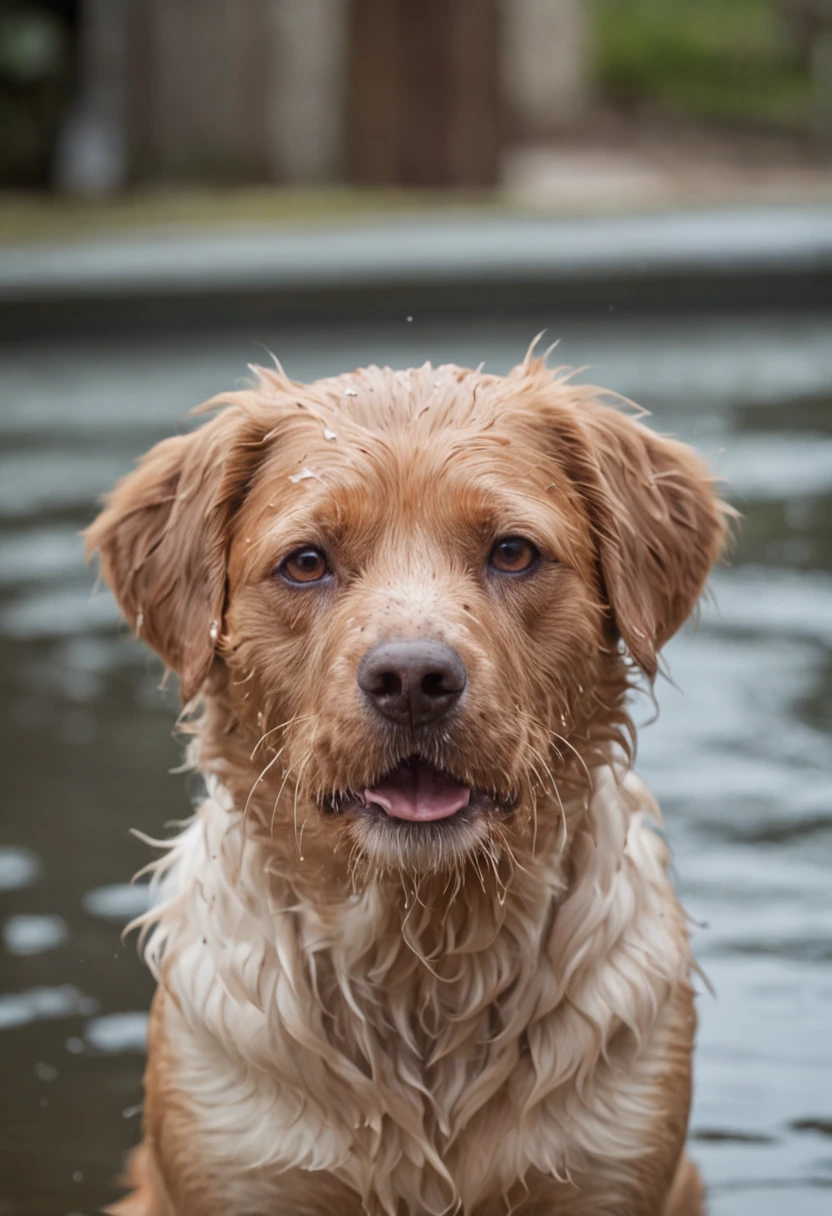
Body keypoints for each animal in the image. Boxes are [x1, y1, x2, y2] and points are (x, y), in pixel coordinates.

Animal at [87, 355, 724, 1216]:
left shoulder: (612, 1164)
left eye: (513, 552)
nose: (414, 680)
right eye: (307, 562)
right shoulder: (236, 1163)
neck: (421, 962)